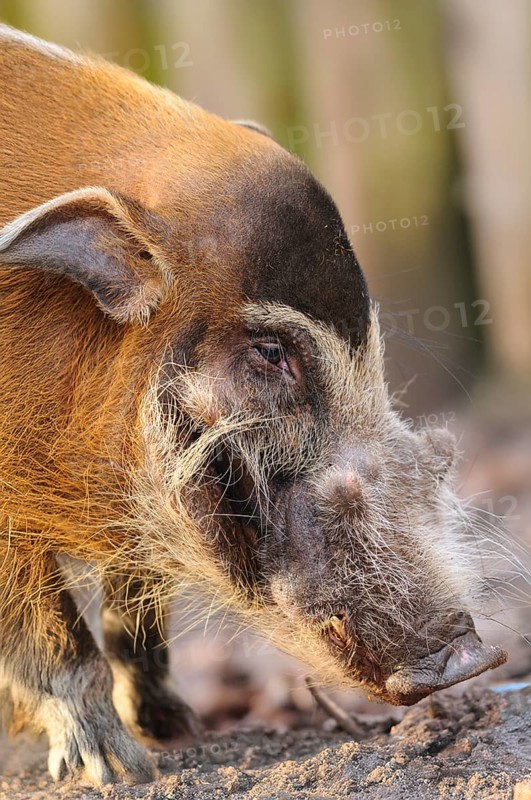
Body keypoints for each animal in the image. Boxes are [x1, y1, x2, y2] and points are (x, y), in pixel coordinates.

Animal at [0, 24, 506, 787]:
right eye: (270, 351)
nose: (471, 659)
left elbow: (137, 612)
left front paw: (178, 732)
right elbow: (52, 636)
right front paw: (119, 772)